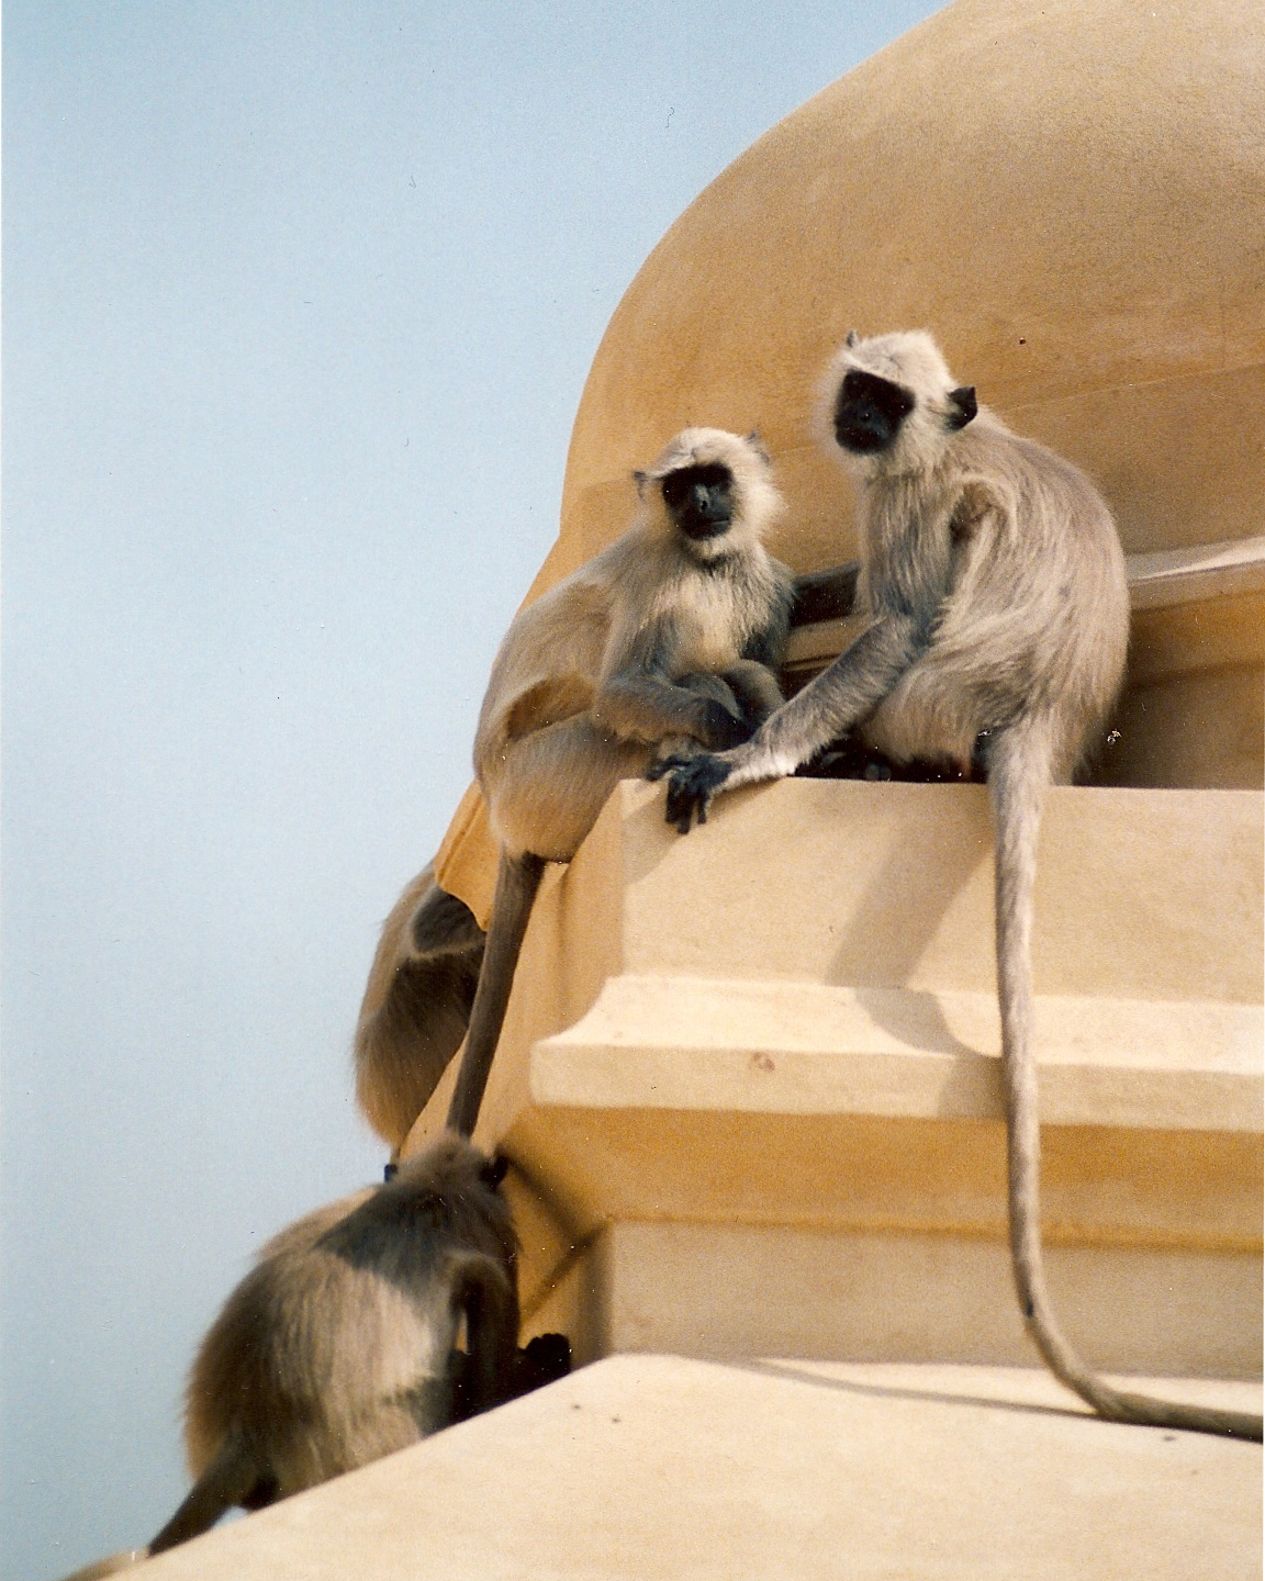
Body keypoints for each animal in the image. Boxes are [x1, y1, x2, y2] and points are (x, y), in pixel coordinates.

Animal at [356, 428, 794, 1149]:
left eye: (712, 478)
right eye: (678, 487)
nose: (698, 503)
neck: (709, 565)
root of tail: (502, 814)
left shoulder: (760, 577)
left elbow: (757, 662)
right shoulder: (661, 579)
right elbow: (623, 690)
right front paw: (733, 742)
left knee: (735, 669)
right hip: (552, 777)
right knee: (690, 684)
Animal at [653, 330, 1262, 1444]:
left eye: (886, 402)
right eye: (859, 387)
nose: (855, 418)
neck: (946, 441)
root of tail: (1043, 717)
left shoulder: (909, 504)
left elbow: (892, 622)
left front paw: (749, 760)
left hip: (935, 695)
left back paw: (877, 765)